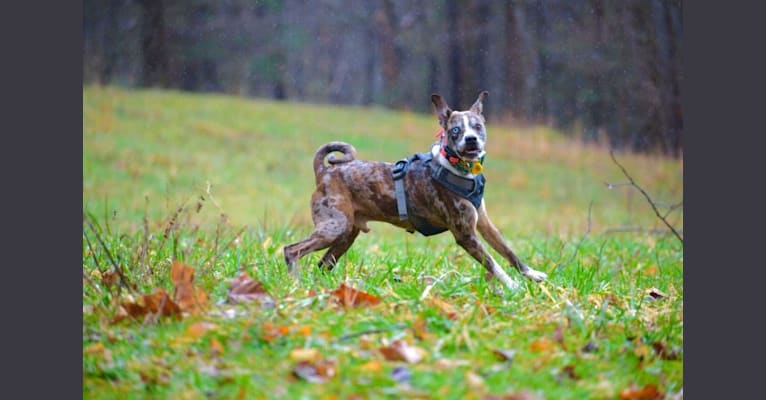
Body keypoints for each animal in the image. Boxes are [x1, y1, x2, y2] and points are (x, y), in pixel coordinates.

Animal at [284, 91, 548, 290]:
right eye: (455, 131)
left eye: (478, 126)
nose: (471, 139)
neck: (458, 168)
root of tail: (324, 171)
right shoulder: (465, 235)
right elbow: (493, 263)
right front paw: (513, 287)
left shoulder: (484, 224)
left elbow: (508, 252)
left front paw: (532, 274)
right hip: (334, 227)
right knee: (292, 250)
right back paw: (296, 284)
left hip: (346, 233)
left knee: (322, 264)